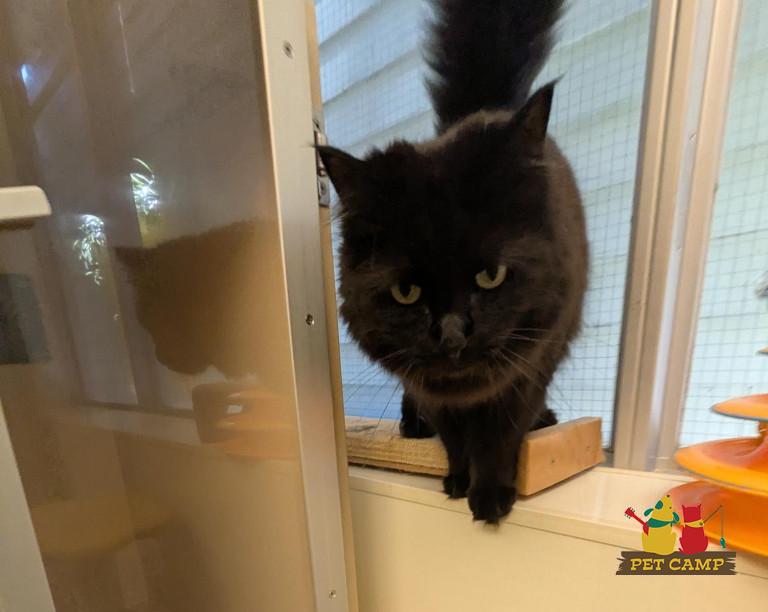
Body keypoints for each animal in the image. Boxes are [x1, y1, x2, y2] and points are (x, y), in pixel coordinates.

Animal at [318, 0, 588, 523]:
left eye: (491, 275)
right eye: (406, 292)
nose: (452, 335)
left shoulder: (530, 363)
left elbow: (500, 431)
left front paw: (491, 494)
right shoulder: (427, 382)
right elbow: (455, 433)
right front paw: (460, 479)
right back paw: (411, 425)